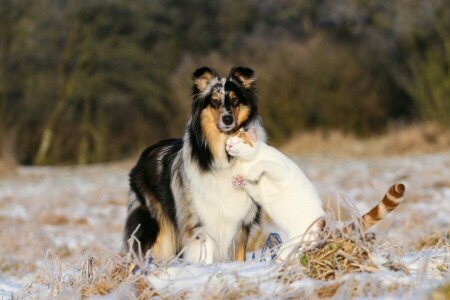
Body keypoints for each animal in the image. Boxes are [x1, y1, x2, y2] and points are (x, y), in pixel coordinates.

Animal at [121, 65, 266, 262]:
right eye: (214, 102)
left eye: (235, 100)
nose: (228, 119)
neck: (224, 155)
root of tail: (145, 152)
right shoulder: (201, 223)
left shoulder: (240, 223)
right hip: (158, 230)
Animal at [227, 126, 326, 260]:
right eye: (228, 140)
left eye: (237, 142)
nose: (228, 145)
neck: (248, 163)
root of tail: (323, 222)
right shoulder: (258, 193)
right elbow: (251, 186)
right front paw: (240, 181)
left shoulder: (281, 171)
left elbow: (264, 163)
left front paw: (253, 173)